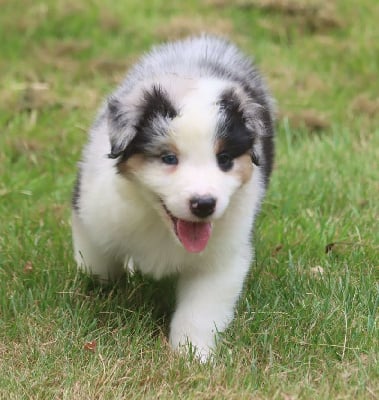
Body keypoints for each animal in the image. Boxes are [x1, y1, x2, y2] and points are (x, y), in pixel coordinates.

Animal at [72, 35, 276, 360]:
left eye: (225, 159)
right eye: (169, 158)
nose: (204, 205)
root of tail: (204, 41)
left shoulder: (221, 257)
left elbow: (200, 311)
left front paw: (191, 357)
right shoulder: (93, 212)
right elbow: (97, 264)